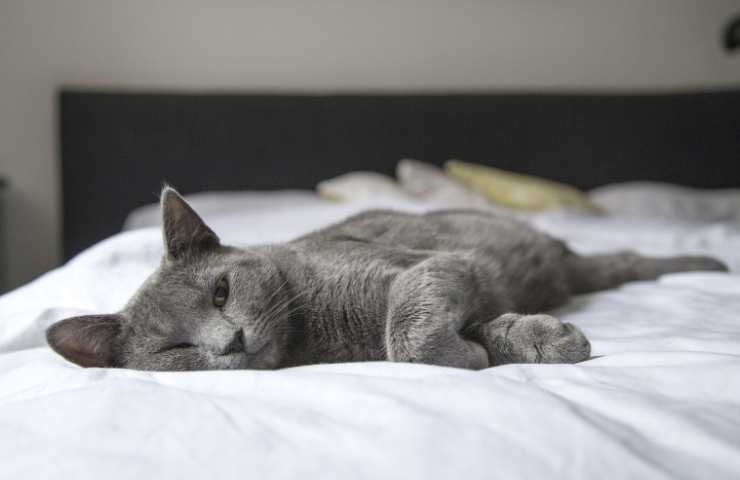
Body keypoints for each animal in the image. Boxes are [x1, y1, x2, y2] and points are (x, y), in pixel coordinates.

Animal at [47, 188, 728, 372]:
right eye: (176, 349)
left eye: (221, 292)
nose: (230, 341)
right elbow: (439, 336)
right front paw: (517, 342)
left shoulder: (424, 267)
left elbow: (406, 331)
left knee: (627, 260)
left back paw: (711, 265)